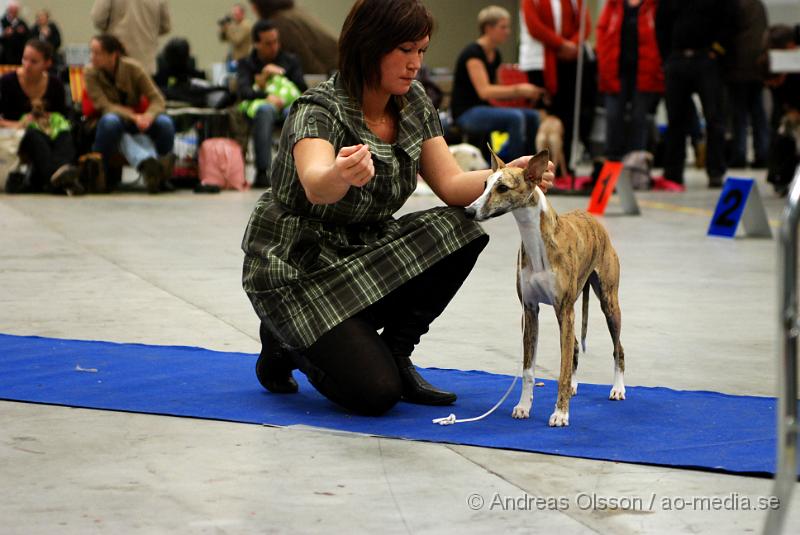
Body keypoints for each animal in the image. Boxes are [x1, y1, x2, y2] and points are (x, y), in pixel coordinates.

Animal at [462, 149, 624, 426]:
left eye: (502, 187)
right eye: (484, 184)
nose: (469, 211)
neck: (537, 243)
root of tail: (593, 220)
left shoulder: (564, 311)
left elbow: (562, 369)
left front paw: (560, 413)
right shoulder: (529, 310)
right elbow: (529, 369)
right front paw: (523, 407)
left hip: (608, 302)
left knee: (618, 348)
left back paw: (618, 389)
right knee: (575, 348)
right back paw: (575, 387)